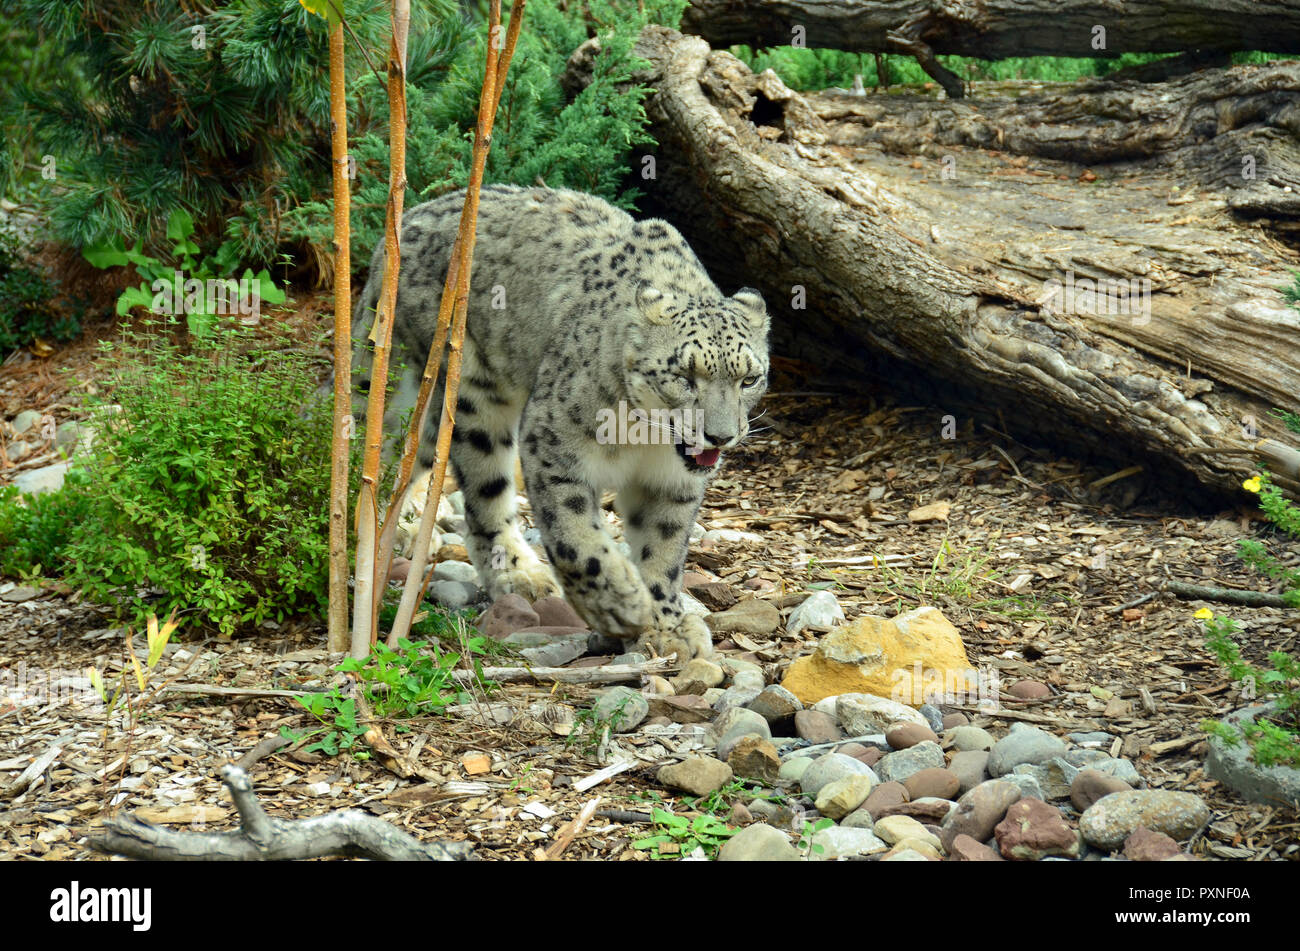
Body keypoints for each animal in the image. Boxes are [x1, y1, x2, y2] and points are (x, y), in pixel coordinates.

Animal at [351, 185, 764, 659]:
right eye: (684, 375)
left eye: (750, 378)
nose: (720, 435)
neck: (645, 437)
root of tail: (404, 224)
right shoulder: (554, 446)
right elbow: (576, 539)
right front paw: (620, 604)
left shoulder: (670, 484)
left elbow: (663, 548)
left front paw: (668, 627)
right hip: (472, 393)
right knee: (470, 486)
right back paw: (515, 574)